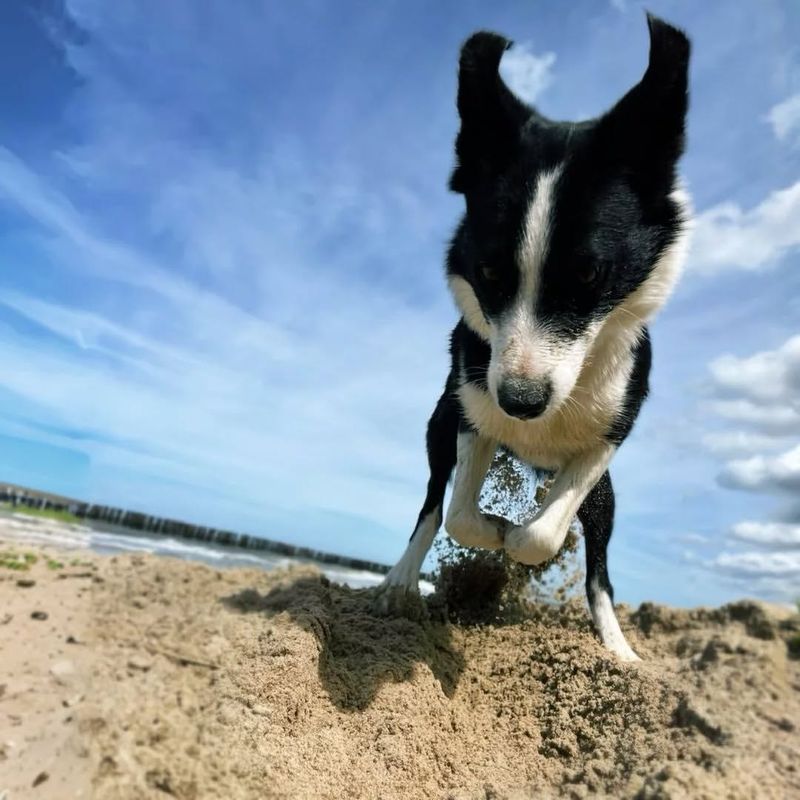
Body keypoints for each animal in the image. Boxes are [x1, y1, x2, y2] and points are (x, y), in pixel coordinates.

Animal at [380, 14, 688, 664]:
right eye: (489, 272)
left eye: (590, 275)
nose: (521, 403)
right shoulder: (472, 408)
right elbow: (461, 517)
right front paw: (496, 529)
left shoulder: (608, 438)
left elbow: (544, 533)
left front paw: (521, 531)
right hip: (437, 425)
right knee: (431, 502)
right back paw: (400, 580)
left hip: (607, 500)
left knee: (599, 571)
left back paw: (618, 649)